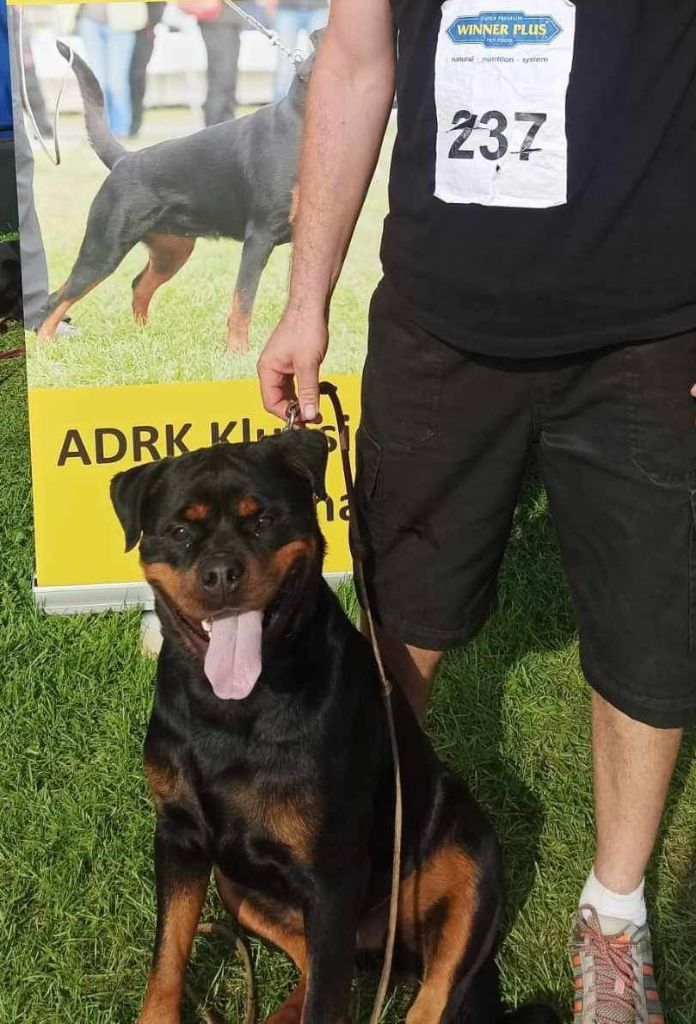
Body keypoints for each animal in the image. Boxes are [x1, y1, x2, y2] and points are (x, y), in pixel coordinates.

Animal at [38, 39, 318, 351]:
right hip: (103, 250)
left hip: (171, 251)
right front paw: (236, 352)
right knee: (59, 298)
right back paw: (42, 345)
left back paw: (144, 335)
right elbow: (243, 301)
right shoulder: (260, 236)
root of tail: (125, 159)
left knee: (138, 285)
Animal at [110, 429, 558, 1024]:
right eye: (181, 531)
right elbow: (167, 961)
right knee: (308, 960)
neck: (232, 710)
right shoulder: (179, 836)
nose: (222, 573)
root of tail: (384, 944)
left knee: (431, 992)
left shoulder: (330, 876)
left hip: (470, 856)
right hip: (236, 886)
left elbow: (327, 1000)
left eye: (263, 519)